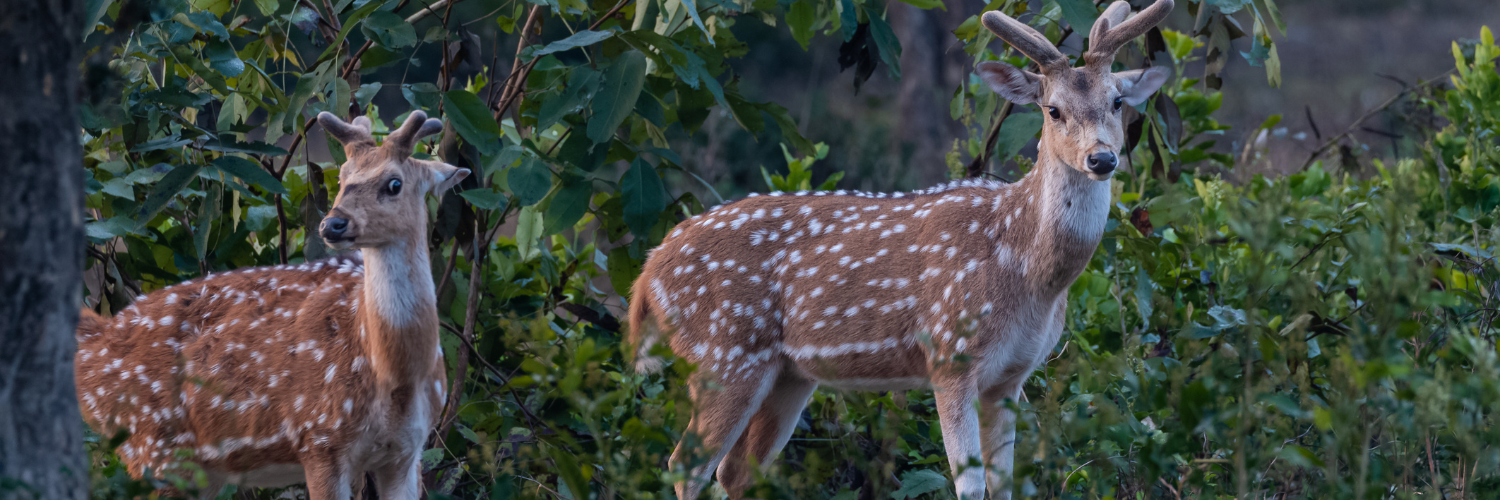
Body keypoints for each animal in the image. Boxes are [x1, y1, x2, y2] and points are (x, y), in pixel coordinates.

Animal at [74, 110, 468, 498]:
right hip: (151, 447)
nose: (332, 224)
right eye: (342, 176)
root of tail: (93, 342)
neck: (393, 374)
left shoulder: (407, 451)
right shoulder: (319, 436)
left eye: (394, 183)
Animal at [627, 1, 1176, 495]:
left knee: (735, 471)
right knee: (684, 465)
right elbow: (970, 485)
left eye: (1117, 101)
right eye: (1053, 109)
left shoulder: (1011, 377)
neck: (1028, 272)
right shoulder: (950, 355)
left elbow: (1006, 486)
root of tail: (647, 273)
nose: (1102, 158)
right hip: (723, 352)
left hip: (787, 374)